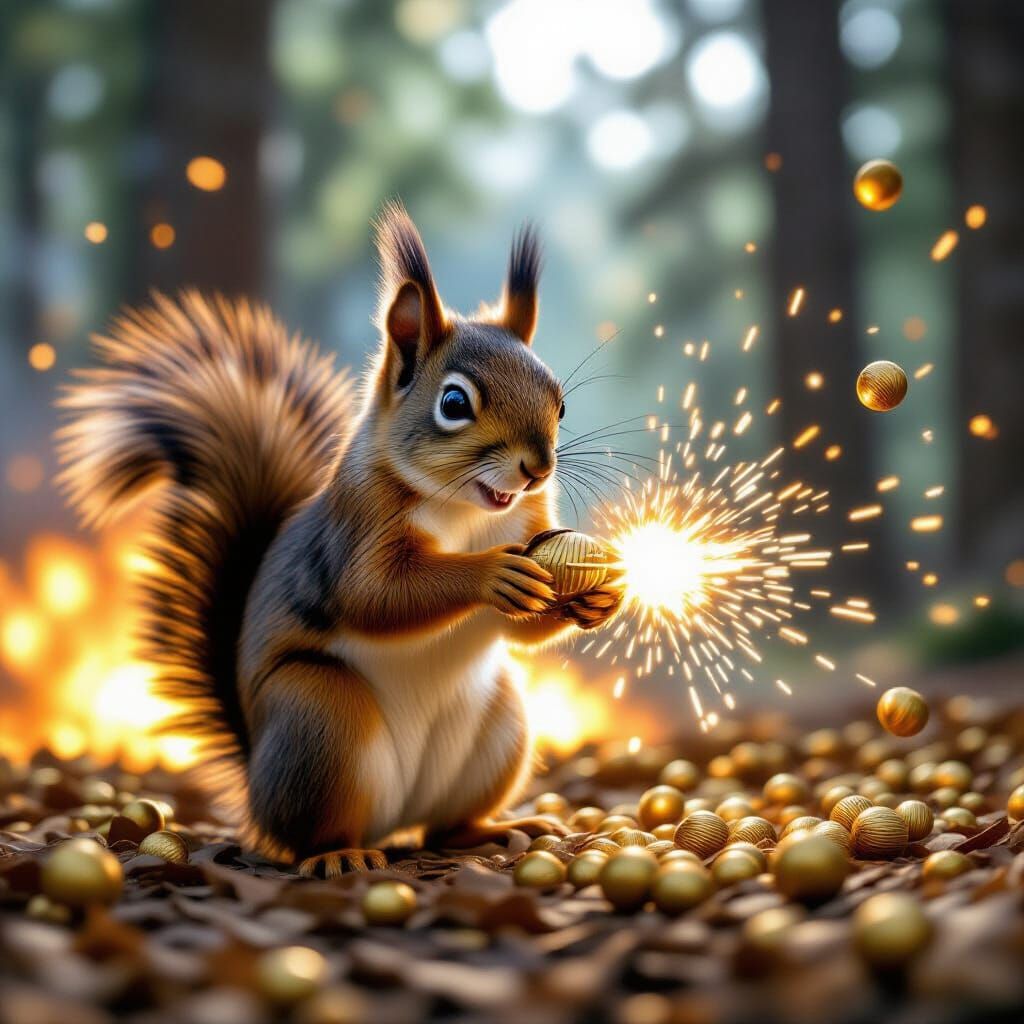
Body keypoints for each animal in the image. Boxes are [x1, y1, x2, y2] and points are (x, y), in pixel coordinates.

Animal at [58, 202, 624, 875]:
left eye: (559, 403)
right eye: (453, 402)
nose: (537, 468)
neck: (464, 513)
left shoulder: (530, 524)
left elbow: (520, 628)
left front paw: (599, 600)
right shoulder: (355, 529)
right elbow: (374, 595)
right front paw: (490, 574)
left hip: (499, 727)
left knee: (446, 827)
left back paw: (494, 829)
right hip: (321, 718)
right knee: (313, 831)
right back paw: (340, 855)